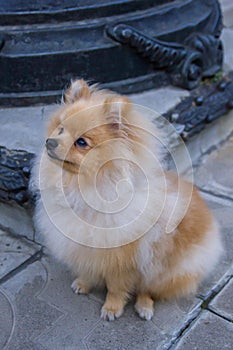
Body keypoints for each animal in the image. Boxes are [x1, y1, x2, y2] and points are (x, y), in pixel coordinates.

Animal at [31, 79, 222, 320]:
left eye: (81, 142)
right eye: (61, 128)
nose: (50, 142)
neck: (84, 188)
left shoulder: (122, 261)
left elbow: (116, 287)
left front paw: (112, 308)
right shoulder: (86, 248)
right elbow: (88, 268)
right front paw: (84, 283)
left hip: (165, 270)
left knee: (148, 289)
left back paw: (144, 306)